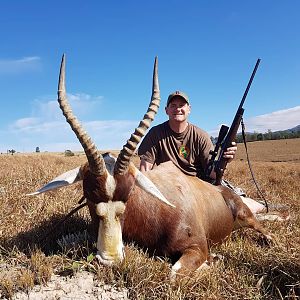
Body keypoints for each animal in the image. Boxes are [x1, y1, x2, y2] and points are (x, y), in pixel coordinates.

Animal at [29, 55, 274, 278]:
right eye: (89, 198)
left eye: (128, 197)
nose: (109, 259)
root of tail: (222, 190)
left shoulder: (197, 248)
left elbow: (173, 274)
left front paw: (213, 259)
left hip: (245, 216)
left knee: (261, 226)